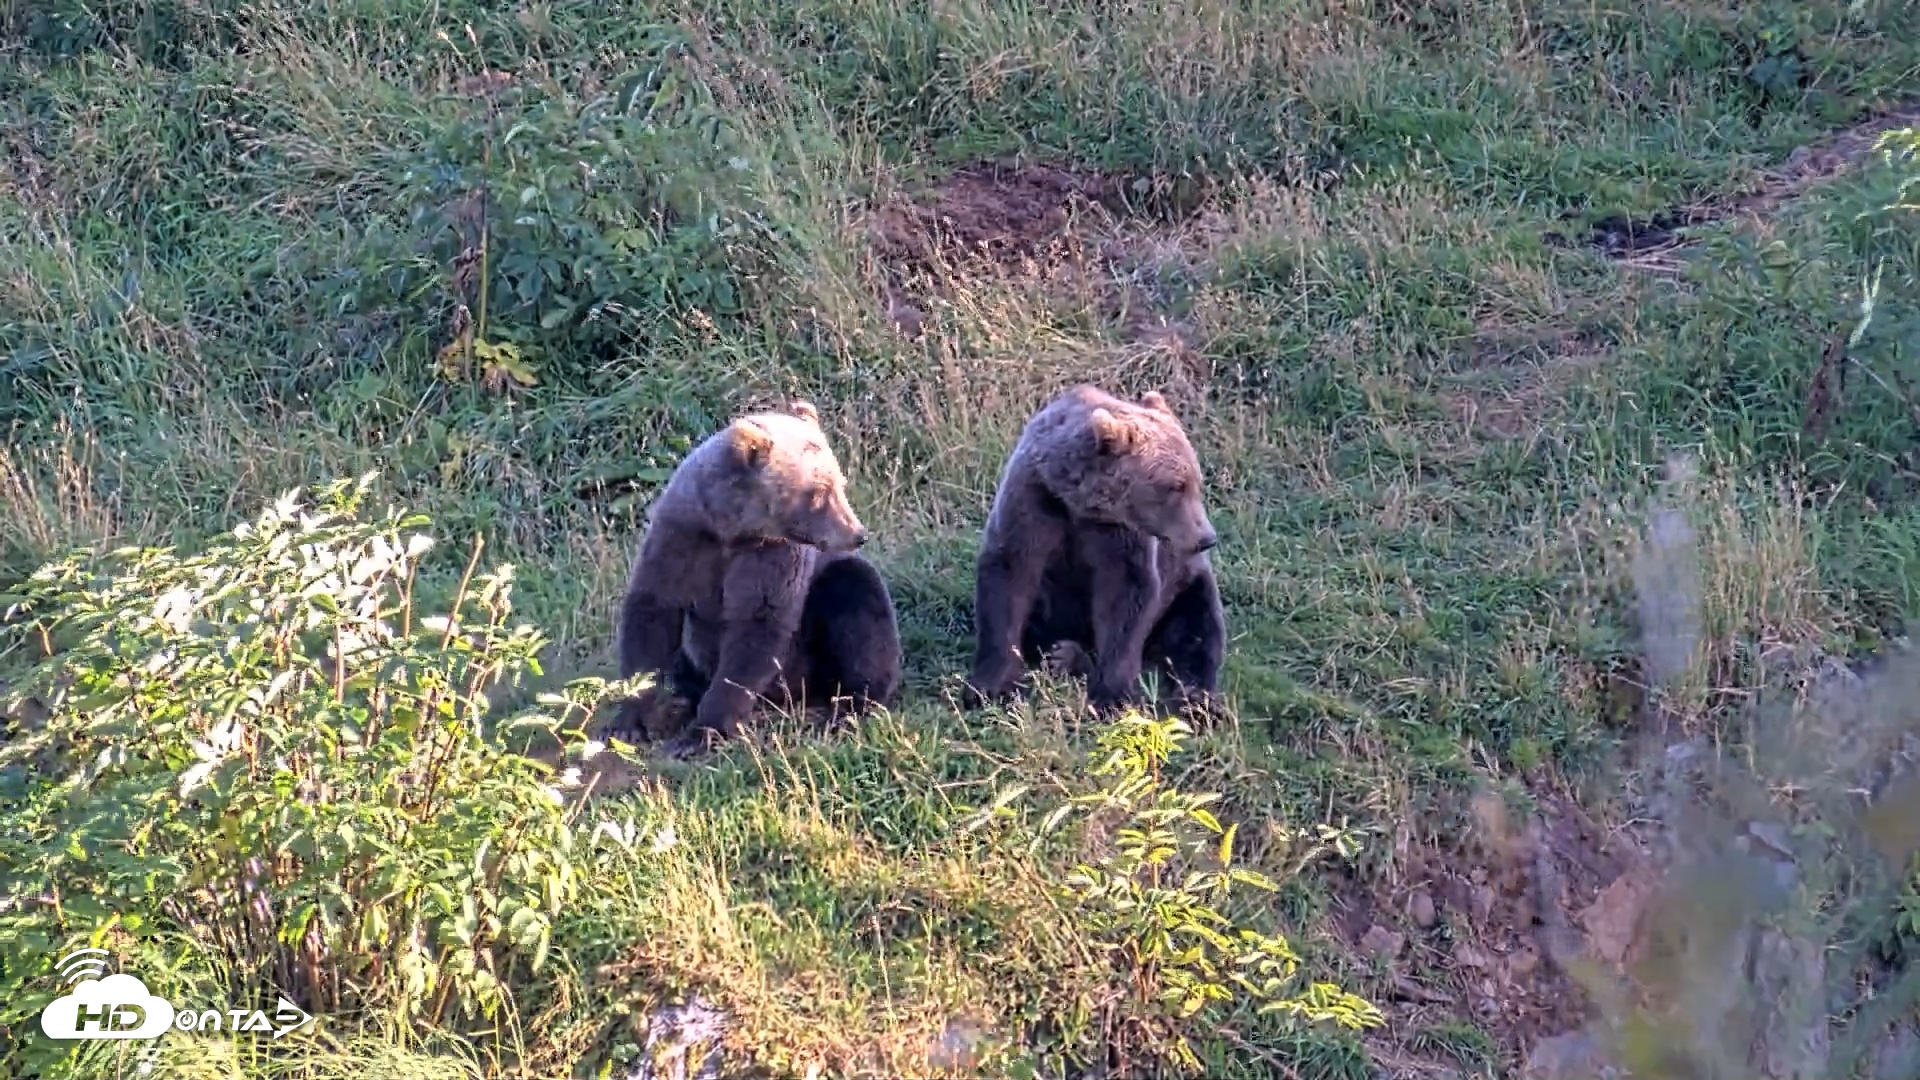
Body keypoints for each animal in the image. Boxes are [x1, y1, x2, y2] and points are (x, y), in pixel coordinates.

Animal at [605, 400, 904, 757]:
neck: (730, 530)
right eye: (818, 492)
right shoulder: (681, 537)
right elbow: (652, 614)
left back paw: (848, 707)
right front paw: (629, 721)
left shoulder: (771, 557)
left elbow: (756, 629)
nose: (857, 533)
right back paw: (681, 698)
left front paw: (700, 735)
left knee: (858, 598)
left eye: (838, 483)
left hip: (808, 653)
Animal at [962, 385, 1226, 719]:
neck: (1077, 504)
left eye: (1195, 481)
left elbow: (1125, 597)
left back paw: (1197, 699)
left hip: (1184, 586)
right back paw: (1064, 655)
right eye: (1175, 486)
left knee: (1198, 629)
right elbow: (1009, 577)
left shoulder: (1118, 536)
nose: (1206, 539)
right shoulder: (1032, 503)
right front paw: (989, 687)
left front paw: (1113, 697)